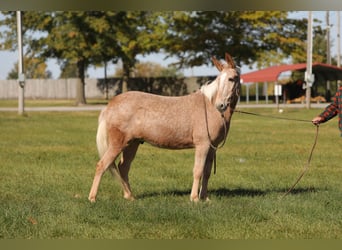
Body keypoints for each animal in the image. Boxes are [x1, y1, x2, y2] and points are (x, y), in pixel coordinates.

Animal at [89, 53, 242, 203]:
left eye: (231, 79)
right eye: (219, 79)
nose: (220, 105)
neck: (209, 107)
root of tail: (111, 105)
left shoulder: (212, 148)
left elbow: (207, 172)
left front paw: (204, 197)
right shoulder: (202, 145)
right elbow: (198, 171)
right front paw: (194, 198)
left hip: (132, 144)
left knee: (123, 168)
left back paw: (130, 196)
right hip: (118, 144)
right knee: (102, 165)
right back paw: (92, 198)